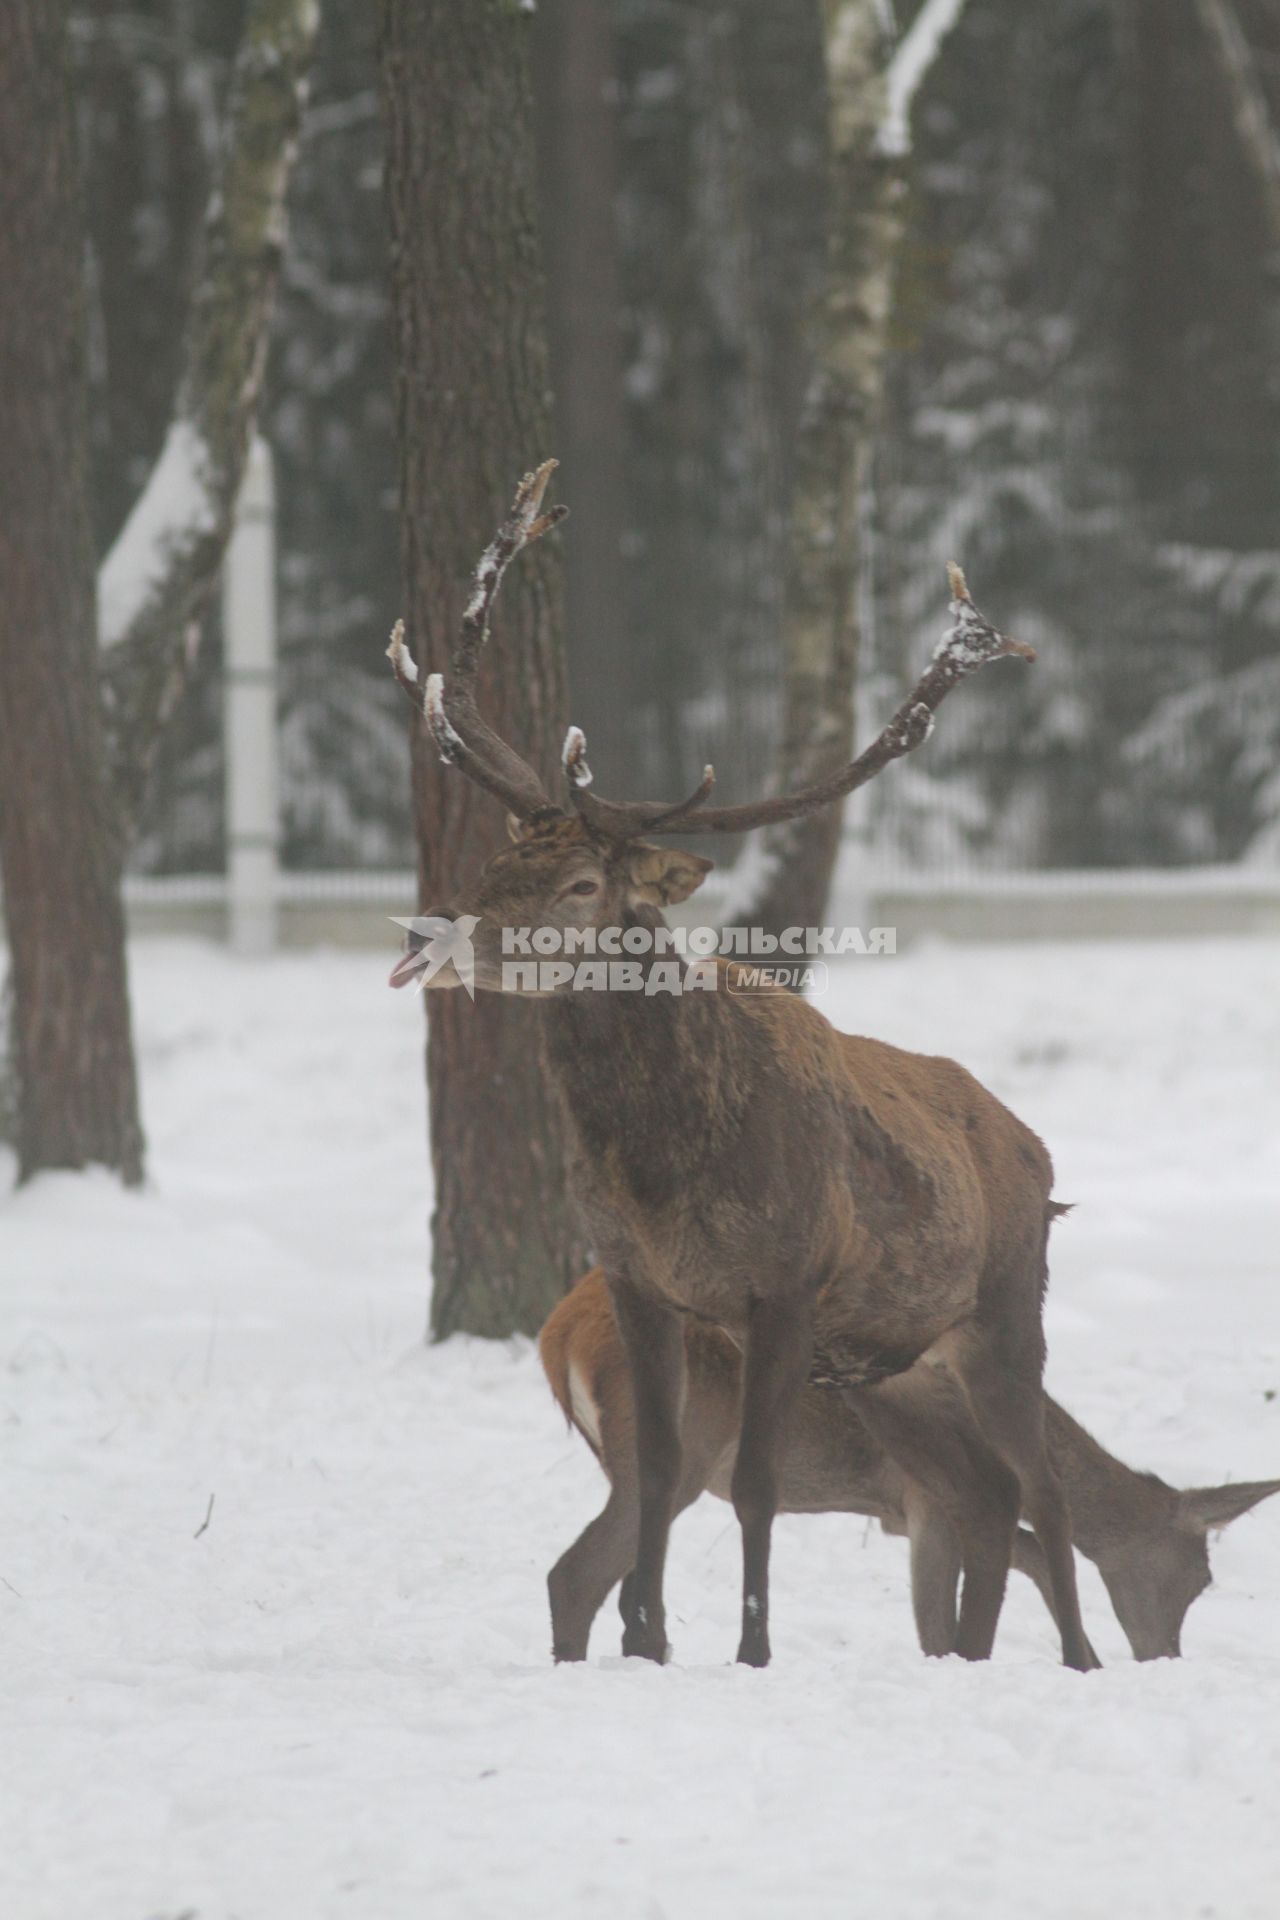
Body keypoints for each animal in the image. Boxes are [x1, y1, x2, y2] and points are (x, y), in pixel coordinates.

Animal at [385, 460, 1097, 1666]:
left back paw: (1082, 1661)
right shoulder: (639, 1281)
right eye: (493, 862)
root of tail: (1035, 1149)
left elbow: (756, 1484)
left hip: (1004, 1308)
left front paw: (751, 1652)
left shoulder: (785, 1284)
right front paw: (646, 1644)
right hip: (899, 1363)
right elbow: (664, 1467)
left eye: (583, 883)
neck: (663, 1170)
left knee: (1042, 1485)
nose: (424, 937)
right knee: (990, 1493)